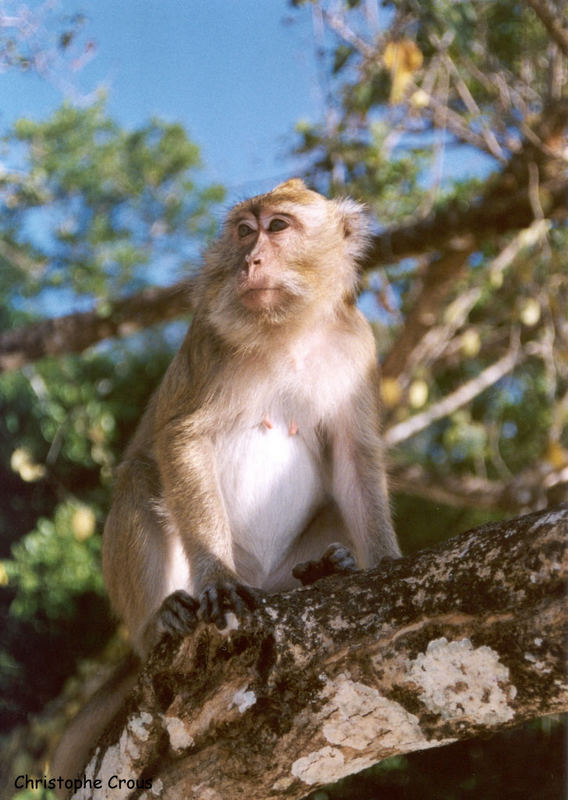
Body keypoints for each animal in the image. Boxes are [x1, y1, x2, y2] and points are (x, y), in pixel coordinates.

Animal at [52, 180, 400, 788]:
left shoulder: (357, 346)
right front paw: (216, 578)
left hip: (279, 573)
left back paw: (325, 568)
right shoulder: (211, 341)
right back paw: (160, 623)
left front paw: (381, 563)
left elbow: (355, 460)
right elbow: (183, 440)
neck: (287, 331)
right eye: (244, 231)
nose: (249, 261)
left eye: (278, 227)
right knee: (142, 479)